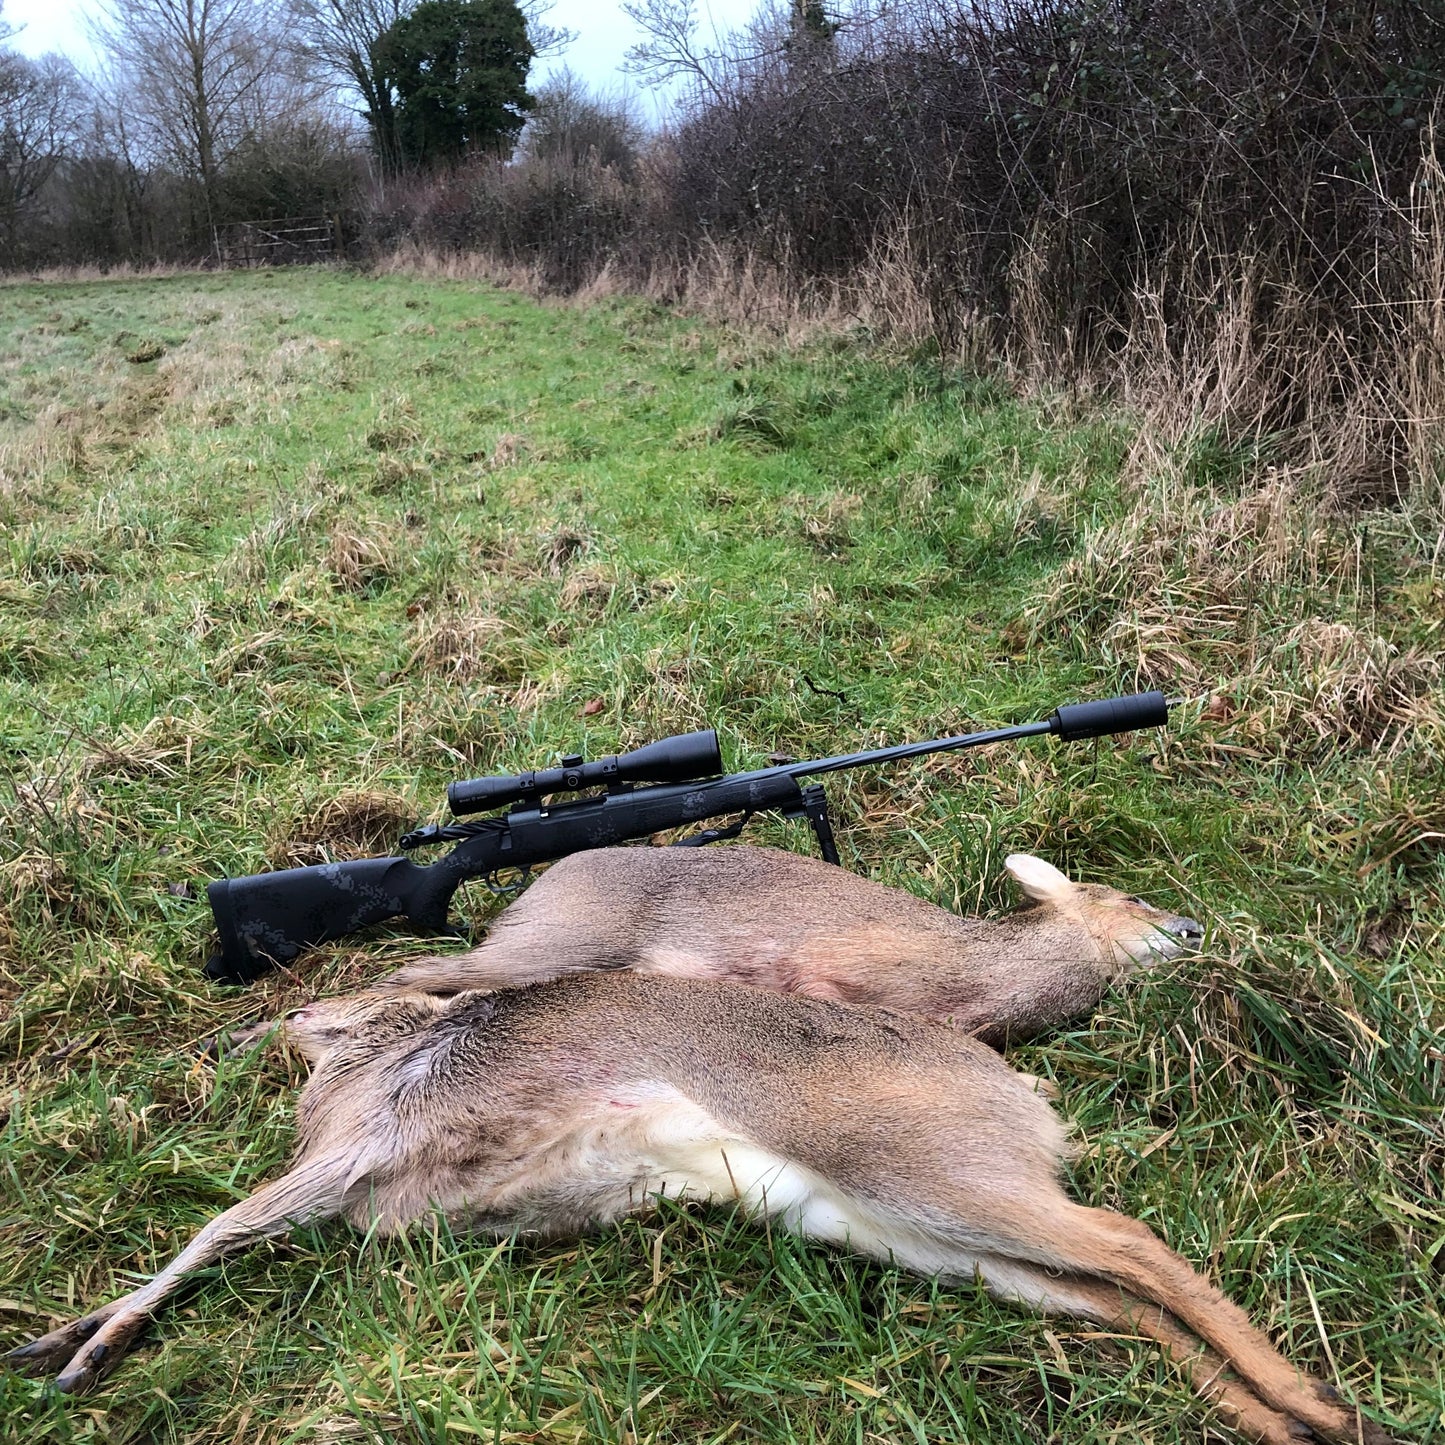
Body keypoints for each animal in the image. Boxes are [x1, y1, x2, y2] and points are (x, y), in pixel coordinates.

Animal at [7, 972, 1392, 1445]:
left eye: (356, 994)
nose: (287, 1012)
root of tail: (1024, 1091)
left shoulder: (343, 1159)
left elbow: (203, 1234)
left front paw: (71, 1348)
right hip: (906, 1232)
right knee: (1109, 1291)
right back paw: (1281, 1419)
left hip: (921, 1177)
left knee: (1133, 1242)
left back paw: (1326, 1405)